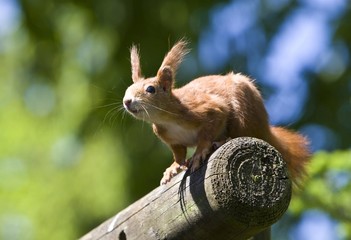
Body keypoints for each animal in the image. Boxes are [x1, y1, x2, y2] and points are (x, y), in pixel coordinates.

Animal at [124, 40, 310, 185]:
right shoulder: (172, 139)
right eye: (127, 90)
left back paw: (221, 141)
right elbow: (179, 154)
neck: (166, 119)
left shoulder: (206, 109)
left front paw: (199, 153)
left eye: (150, 89)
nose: (127, 101)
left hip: (244, 111)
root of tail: (265, 130)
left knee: (241, 133)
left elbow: (209, 130)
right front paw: (173, 168)